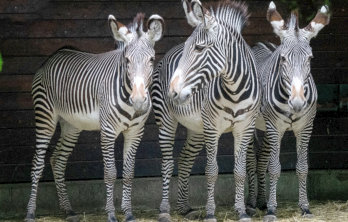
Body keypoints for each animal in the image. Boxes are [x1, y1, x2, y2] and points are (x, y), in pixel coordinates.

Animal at [25, 13, 164, 222]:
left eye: (152, 59)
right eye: (127, 60)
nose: (139, 101)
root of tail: (54, 55)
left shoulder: (135, 132)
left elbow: (129, 173)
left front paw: (128, 213)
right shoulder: (108, 131)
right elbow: (110, 173)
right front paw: (111, 214)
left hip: (72, 125)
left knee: (57, 160)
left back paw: (68, 210)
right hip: (45, 116)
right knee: (37, 164)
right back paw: (30, 212)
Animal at [151, 0, 260, 221]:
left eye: (200, 48)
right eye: (188, 47)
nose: (172, 92)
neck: (235, 89)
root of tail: (167, 54)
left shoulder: (244, 128)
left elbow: (240, 171)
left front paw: (241, 211)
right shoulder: (212, 128)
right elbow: (211, 170)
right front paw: (210, 212)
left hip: (196, 129)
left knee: (185, 159)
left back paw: (184, 208)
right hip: (167, 121)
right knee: (167, 163)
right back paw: (165, 210)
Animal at [249, 1, 330, 220]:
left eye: (310, 59)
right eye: (283, 59)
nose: (297, 103)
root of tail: (258, 45)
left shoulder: (306, 128)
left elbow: (302, 168)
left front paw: (305, 207)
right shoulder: (275, 127)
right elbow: (275, 168)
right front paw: (272, 210)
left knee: (261, 160)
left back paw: (260, 201)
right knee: (249, 160)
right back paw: (250, 204)